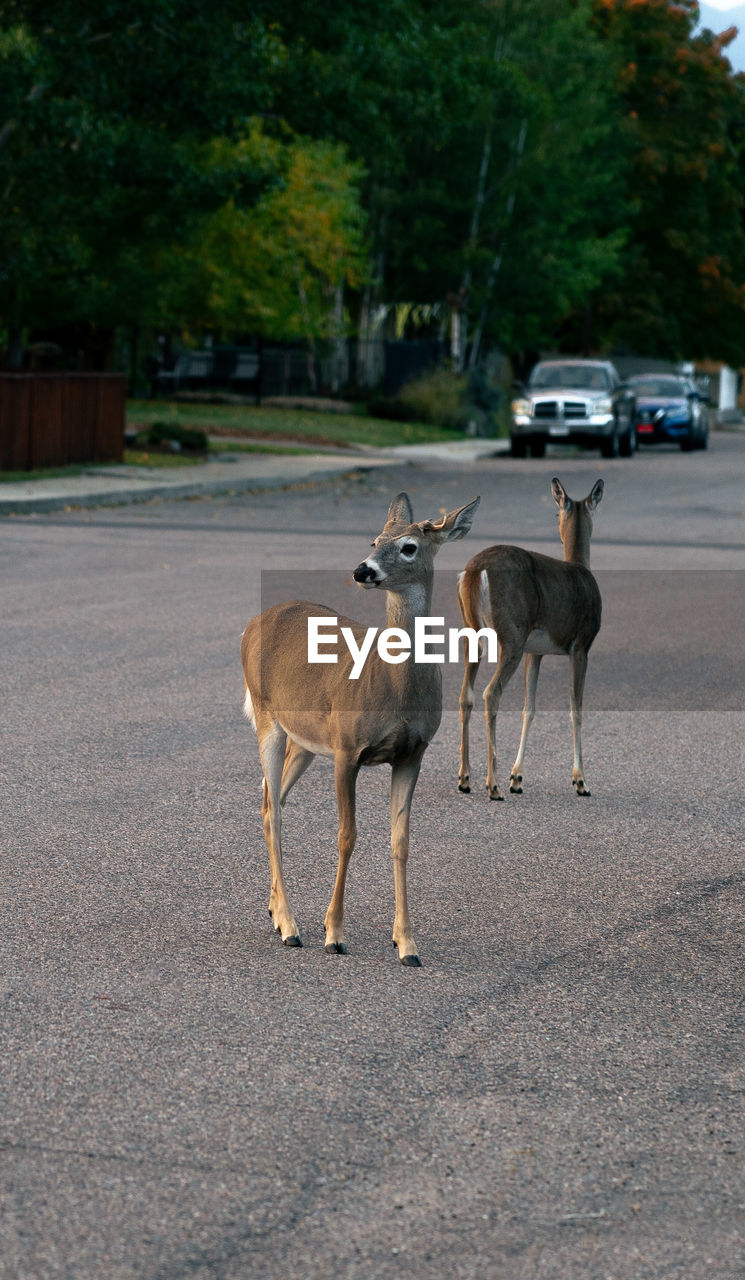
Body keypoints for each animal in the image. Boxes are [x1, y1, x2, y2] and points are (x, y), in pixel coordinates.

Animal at [241, 488, 481, 962]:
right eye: (374, 540)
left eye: (408, 546)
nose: (361, 570)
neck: (395, 687)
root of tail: (253, 624)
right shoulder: (347, 749)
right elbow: (347, 836)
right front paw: (334, 933)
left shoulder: (412, 754)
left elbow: (401, 842)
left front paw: (407, 943)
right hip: (267, 718)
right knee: (273, 809)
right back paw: (291, 926)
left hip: (305, 742)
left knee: (270, 800)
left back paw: (276, 912)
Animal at [458, 478, 604, 798]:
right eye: (555, 513)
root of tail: (475, 571)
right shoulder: (581, 645)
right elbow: (576, 709)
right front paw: (581, 781)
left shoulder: (534, 651)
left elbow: (530, 708)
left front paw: (517, 777)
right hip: (511, 635)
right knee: (491, 693)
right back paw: (492, 785)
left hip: (473, 633)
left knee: (466, 695)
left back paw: (465, 778)